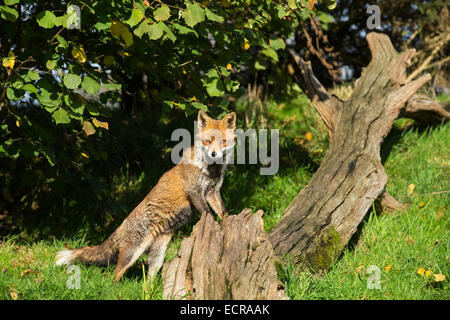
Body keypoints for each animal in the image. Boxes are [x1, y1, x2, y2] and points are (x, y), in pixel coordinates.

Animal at [55, 110, 237, 282]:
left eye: (223, 142)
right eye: (208, 141)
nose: (214, 154)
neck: (210, 171)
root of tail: (122, 225)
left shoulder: (212, 192)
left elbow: (222, 211)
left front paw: (226, 223)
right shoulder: (194, 191)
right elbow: (208, 214)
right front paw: (215, 225)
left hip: (158, 254)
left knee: (149, 278)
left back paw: (149, 289)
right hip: (133, 253)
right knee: (116, 273)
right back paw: (116, 288)